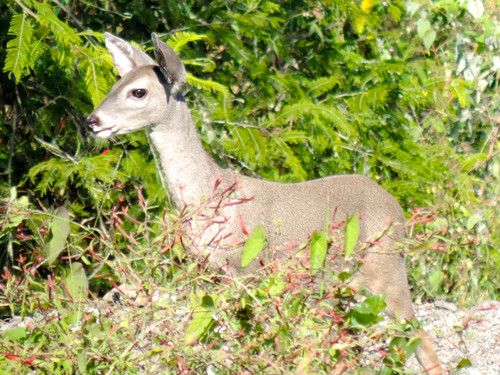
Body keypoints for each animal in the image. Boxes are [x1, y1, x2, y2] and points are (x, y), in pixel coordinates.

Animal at [85, 33, 442, 375]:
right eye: (115, 83)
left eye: (138, 92)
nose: (92, 121)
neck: (209, 195)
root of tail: (396, 207)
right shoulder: (209, 273)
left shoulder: (246, 268)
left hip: (386, 265)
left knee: (421, 337)